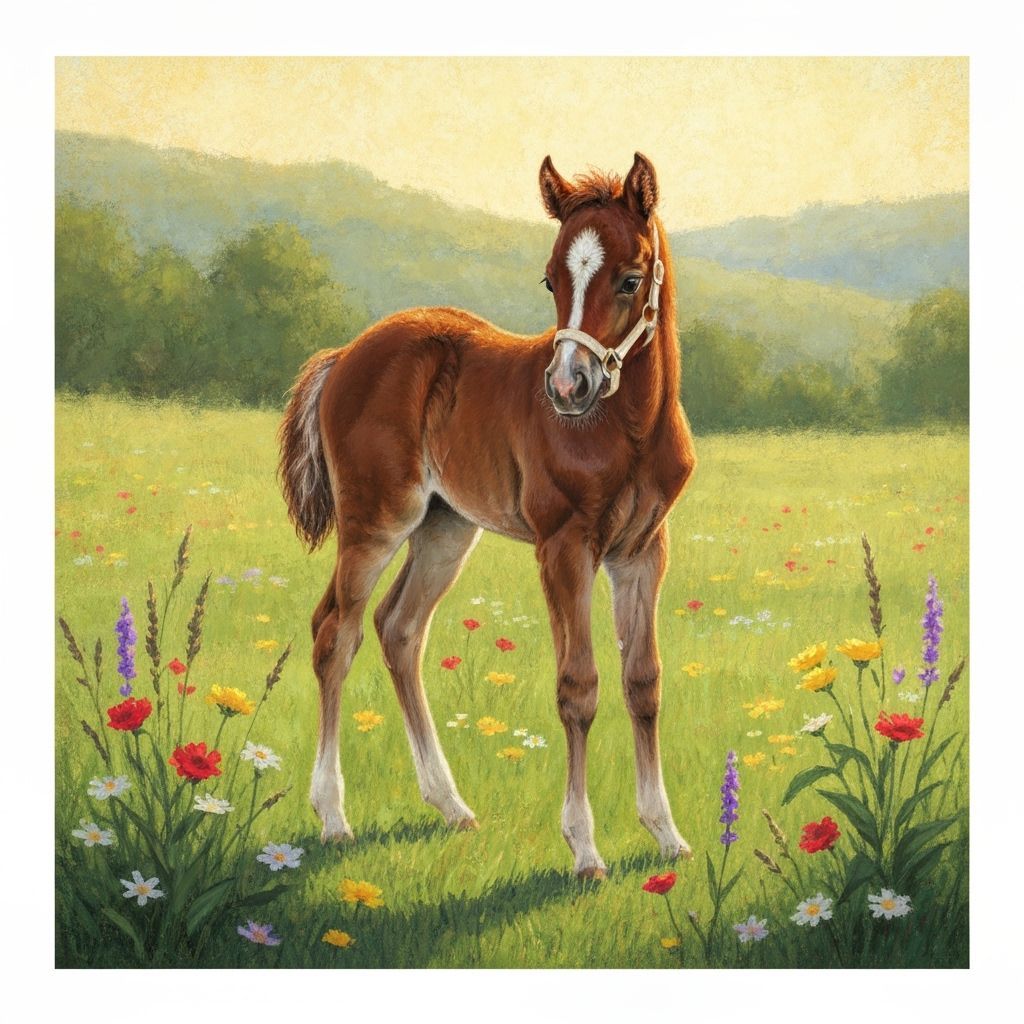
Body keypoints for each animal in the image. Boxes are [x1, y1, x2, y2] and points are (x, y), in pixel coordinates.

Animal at [278, 153, 696, 878]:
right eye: (552, 278)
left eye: (629, 278)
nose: (567, 386)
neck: (628, 428)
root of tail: (346, 355)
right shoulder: (564, 548)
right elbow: (578, 687)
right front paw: (585, 850)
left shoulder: (644, 551)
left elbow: (642, 682)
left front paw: (666, 834)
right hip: (375, 524)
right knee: (336, 633)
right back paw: (333, 817)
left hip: (446, 530)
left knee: (399, 629)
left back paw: (450, 805)